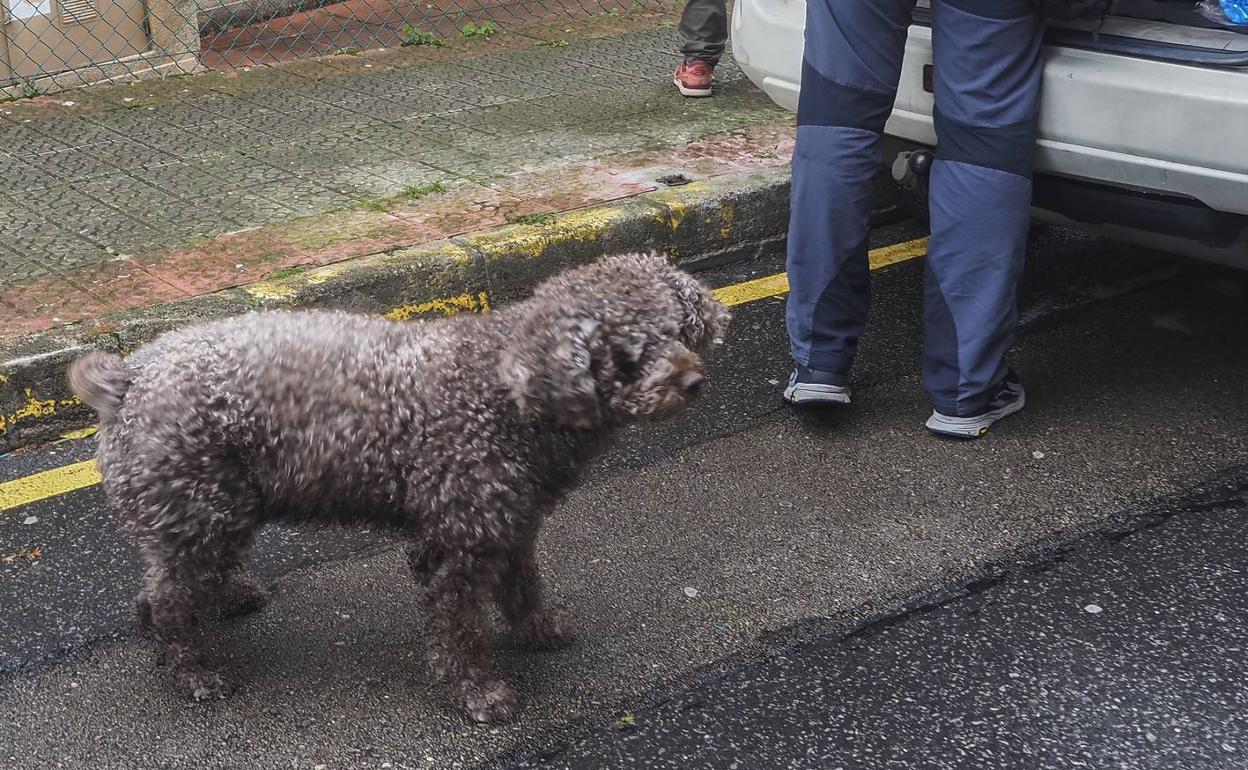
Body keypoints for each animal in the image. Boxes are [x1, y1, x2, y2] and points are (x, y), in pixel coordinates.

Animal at [68, 250, 728, 718]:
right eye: (627, 355)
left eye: (676, 331)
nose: (692, 381)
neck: (510, 394)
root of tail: (129, 378)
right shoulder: (457, 542)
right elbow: (460, 629)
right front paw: (476, 694)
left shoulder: (510, 523)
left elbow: (523, 588)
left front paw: (538, 631)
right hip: (200, 504)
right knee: (165, 598)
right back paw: (192, 672)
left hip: (219, 505)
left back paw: (227, 599)